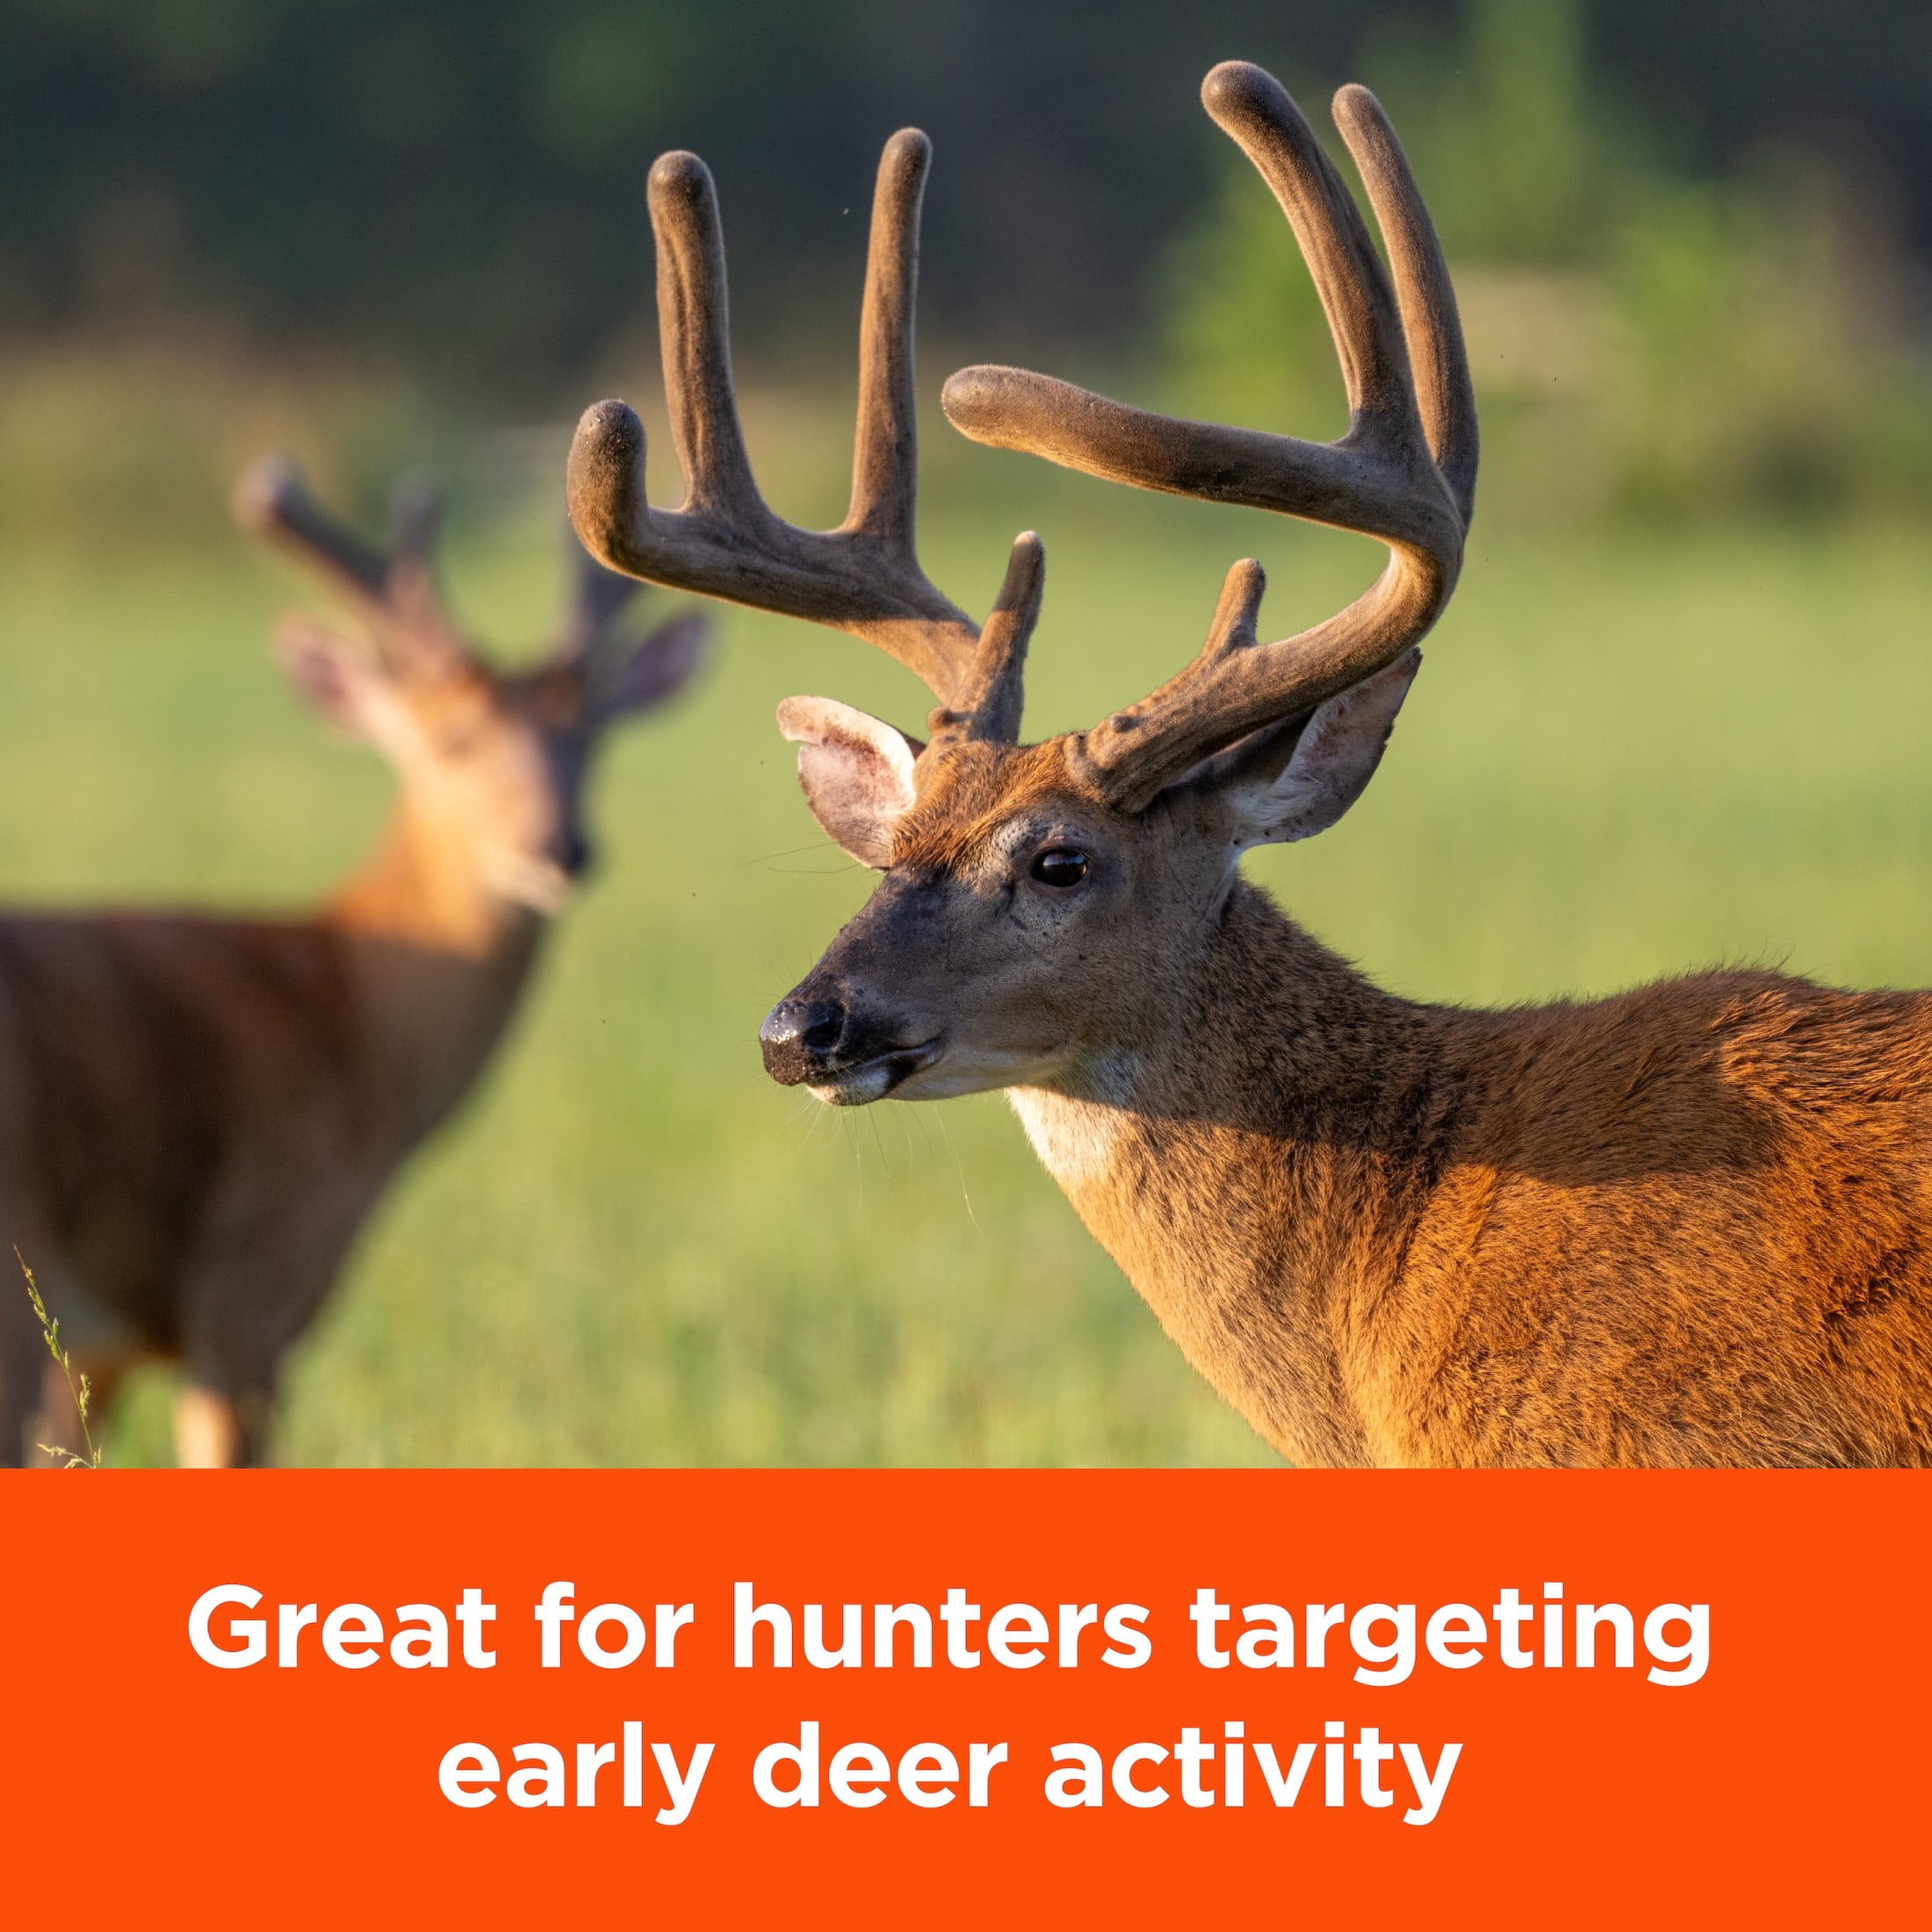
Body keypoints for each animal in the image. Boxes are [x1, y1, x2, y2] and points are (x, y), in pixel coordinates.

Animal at [0, 463, 707, 1467]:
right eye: (452, 739)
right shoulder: (253, 1279)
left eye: (592, 735)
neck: (345, 1005)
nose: (560, 849)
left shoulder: (107, 1347)